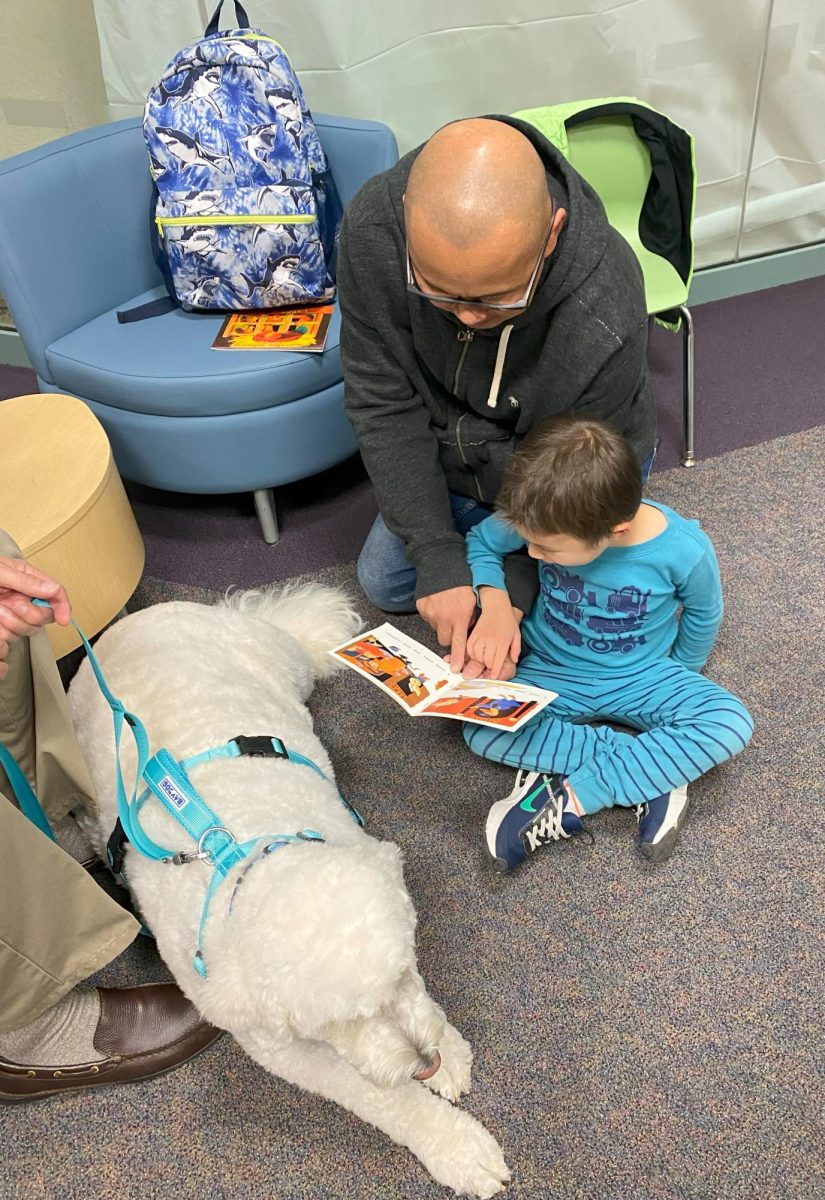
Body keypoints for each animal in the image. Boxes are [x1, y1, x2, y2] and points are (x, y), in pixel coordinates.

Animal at [69, 578, 508, 1190]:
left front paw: (450, 1049)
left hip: (280, 659)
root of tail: (138, 618)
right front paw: (458, 1147)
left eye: (404, 972)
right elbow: (382, 1097)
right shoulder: (278, 1046)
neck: (251, 857)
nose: (426, 1062)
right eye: (340, 1021)